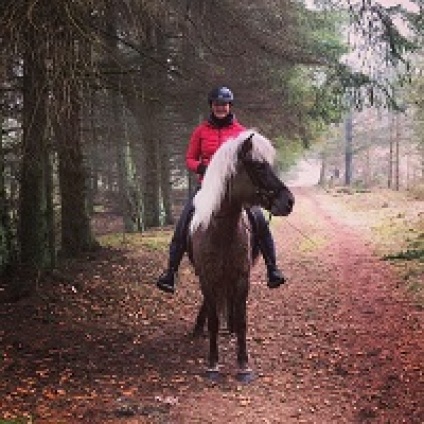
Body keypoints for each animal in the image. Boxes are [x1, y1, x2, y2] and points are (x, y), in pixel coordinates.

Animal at [189, 128, 294, 380]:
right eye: (258, 166)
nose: (289, 201)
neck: (222, 232)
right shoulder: (207, 277)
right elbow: (214, 319)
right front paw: (213, 364)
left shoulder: (241, 278)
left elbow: (243, 318)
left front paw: (243, 364)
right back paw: (200, 328)